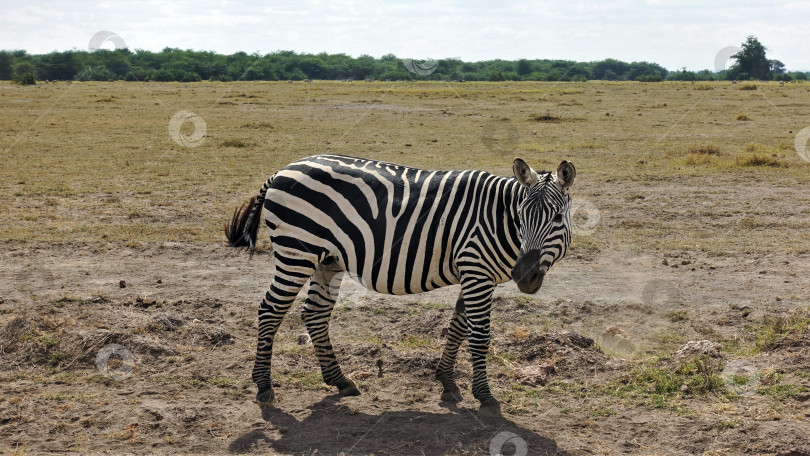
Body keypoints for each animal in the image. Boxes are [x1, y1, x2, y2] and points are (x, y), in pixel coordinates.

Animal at [223, 154, 576, 416]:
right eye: (521, 216)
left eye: (558, 218)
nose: (524, 276)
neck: (496, 219)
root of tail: (283, 169)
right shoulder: (477, 271)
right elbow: (478, 337)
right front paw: (485, 396)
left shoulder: (472, 272)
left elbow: (457, 326)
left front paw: (446, 381)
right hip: (296, 252)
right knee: (270, 311)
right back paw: (264, 385)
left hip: (327, 259)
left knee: (314, 314)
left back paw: (340, 381)